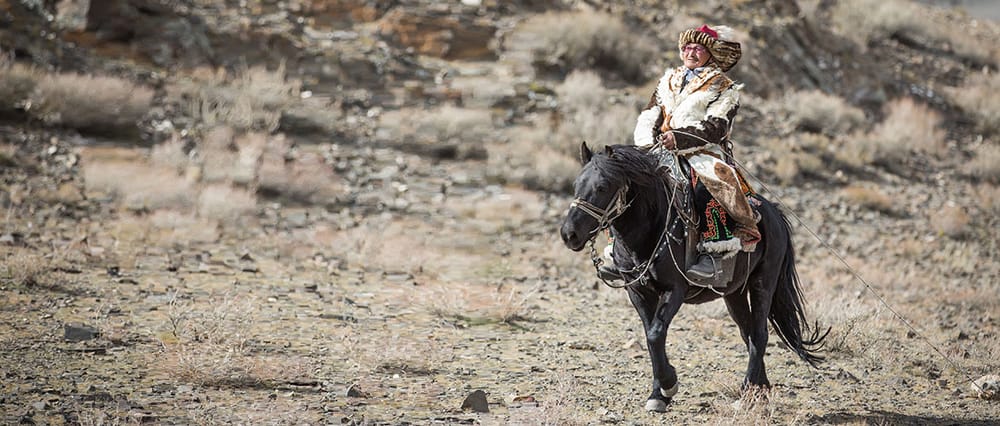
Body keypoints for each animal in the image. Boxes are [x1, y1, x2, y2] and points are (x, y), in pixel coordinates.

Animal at [556, 144, 828, 412]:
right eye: (576, 184)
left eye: (603, 186)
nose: (569, 234)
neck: (651, 231)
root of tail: (774, 214)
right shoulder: (639, 293)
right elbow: (651, 337)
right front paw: (658, 394)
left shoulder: (674, 290)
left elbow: (655, 334)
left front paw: (669, 384)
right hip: (734, 294)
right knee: (749, 334)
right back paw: (760, 390)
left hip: (763, 283)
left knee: (760, 334)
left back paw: (747, 393)